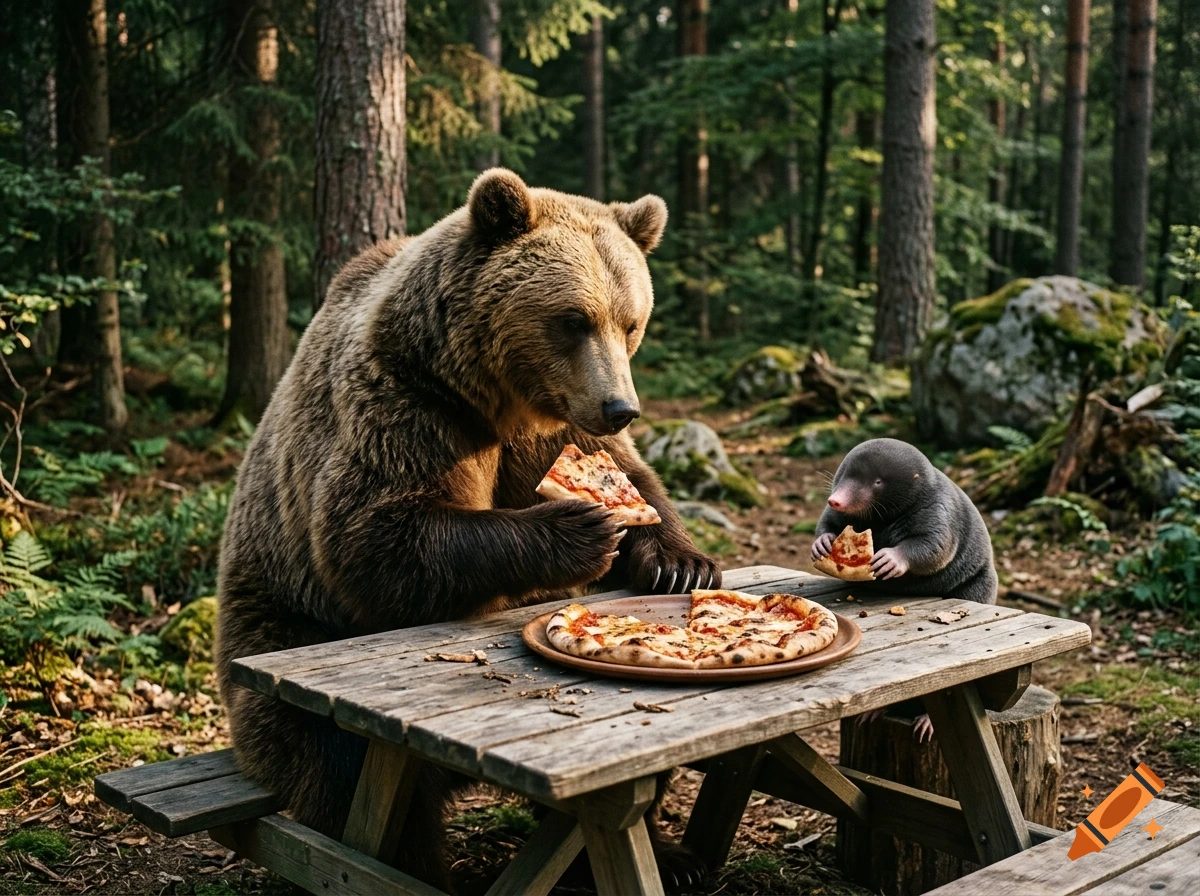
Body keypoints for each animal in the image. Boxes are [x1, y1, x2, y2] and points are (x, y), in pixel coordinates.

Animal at [215, 168, 722, 889]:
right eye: (574, 319)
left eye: (631, 323)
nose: (620, 407)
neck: (502, 399)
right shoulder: (410, 405)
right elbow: (378, 536)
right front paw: (580, 529)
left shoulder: (555, 429)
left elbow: (636, 478)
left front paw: (679, 561)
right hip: (281, 626)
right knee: (338, 762)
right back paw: (422, 866)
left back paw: (672, 859)